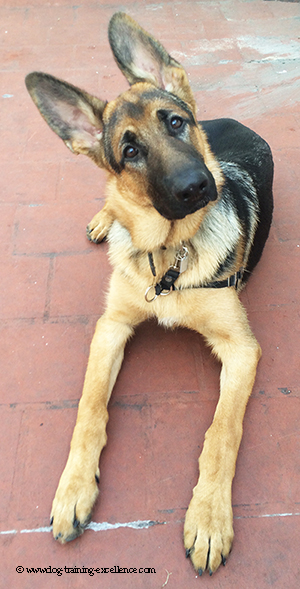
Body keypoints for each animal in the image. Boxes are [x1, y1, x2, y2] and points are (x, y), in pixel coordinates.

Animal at [25, 12, 274, 576]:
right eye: (130, 151)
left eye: (175, 123)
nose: (197, 187)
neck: (168, 255)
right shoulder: (111, 326)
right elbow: (89, 407)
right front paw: (73, 488)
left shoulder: (242, 349)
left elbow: (221, 433)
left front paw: (208, 518)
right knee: (111, 203)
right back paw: (105, 220)